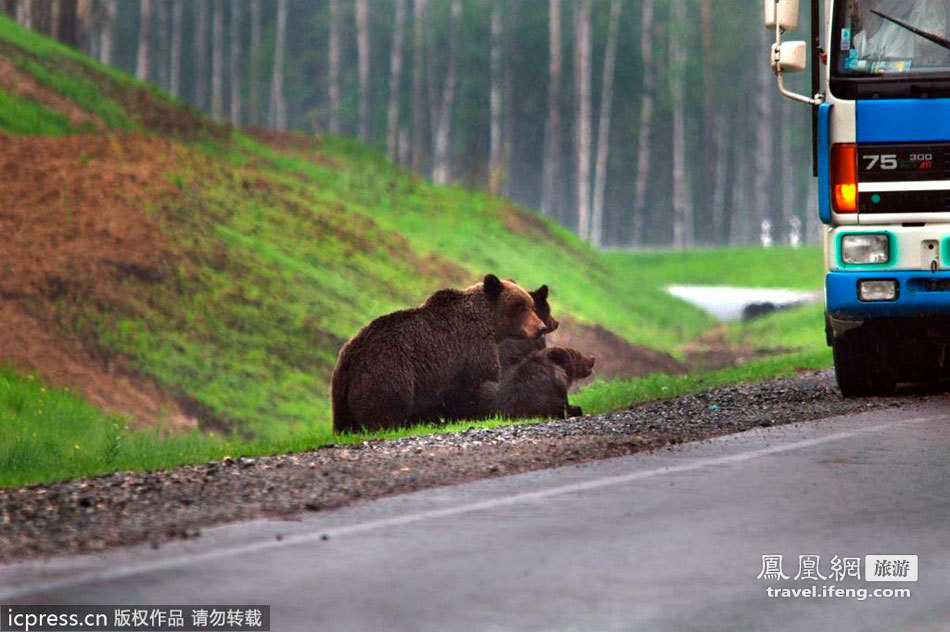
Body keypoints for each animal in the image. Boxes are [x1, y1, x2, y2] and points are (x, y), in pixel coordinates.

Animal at [332, 274, 544, 432]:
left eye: (532, 305)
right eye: (522, 307)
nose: (541, 327)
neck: (490, 325)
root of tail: (351, 357)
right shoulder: (473, 349)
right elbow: (478, 383)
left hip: (341, 394)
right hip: (388, 372)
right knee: (386, 408)